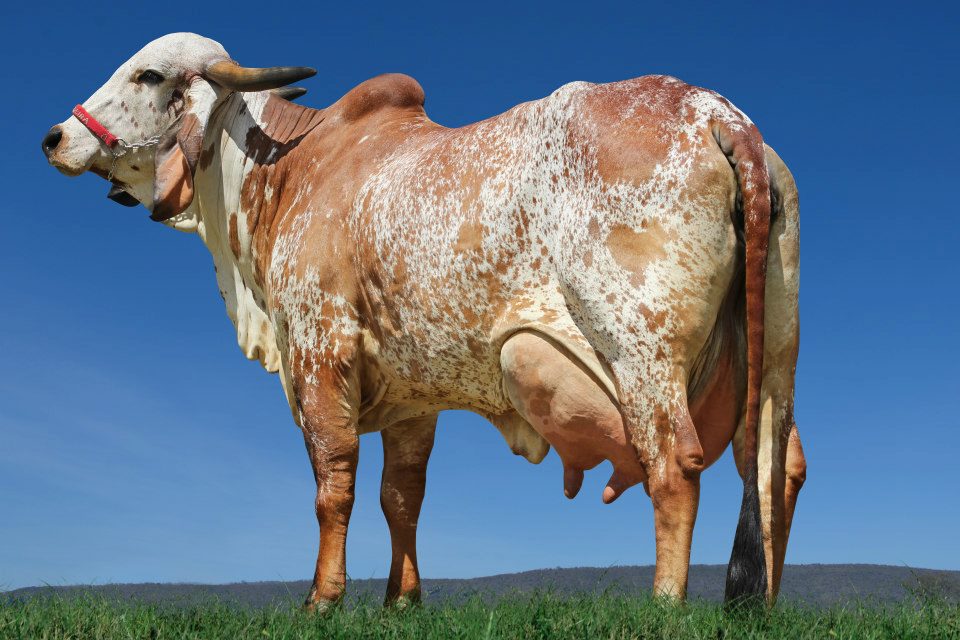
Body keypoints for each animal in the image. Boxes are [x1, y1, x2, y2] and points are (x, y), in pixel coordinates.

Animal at [42, 33, 805, 610]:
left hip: (639, 350)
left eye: (148, 75)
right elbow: (400, 498)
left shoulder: (319, 347)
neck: (286, 166)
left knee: (674, 464)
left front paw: (323, 599)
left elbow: (334, 482)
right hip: (773, 358)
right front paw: (399, 601)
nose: (55, 136)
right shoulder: (415, 397)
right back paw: (759, 605)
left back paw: (664, 604)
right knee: (775, 465)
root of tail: (719, 114)